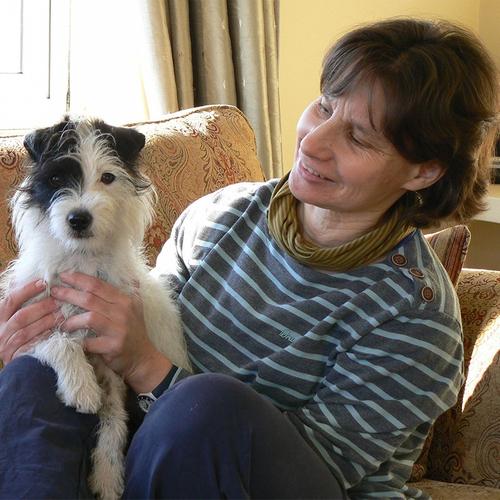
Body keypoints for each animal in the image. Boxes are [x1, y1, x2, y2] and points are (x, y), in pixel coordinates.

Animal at [0, 116, 190, 499]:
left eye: (107, 177)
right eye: (57, 179)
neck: (81, 259)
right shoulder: (27, 321)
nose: (78, 218)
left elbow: (114, 419)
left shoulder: (112, 365)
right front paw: (81, 387)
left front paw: (107, 475)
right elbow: (59, 340)